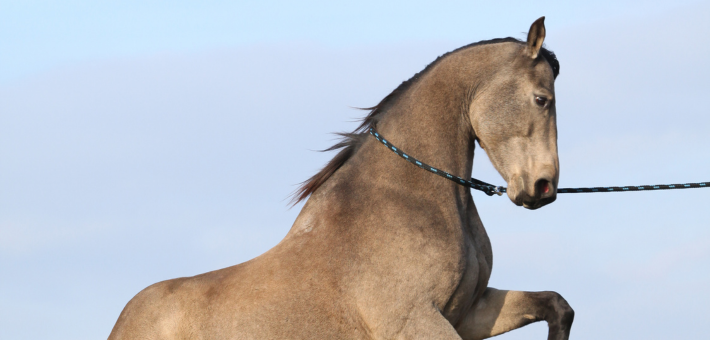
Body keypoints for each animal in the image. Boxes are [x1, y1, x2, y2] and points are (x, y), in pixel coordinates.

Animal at [111, 17, 580, 340]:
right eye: (542, 99)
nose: (543, 188)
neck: (409, 199)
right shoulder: (414, 321)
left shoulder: (470, 313)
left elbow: (557, 306)